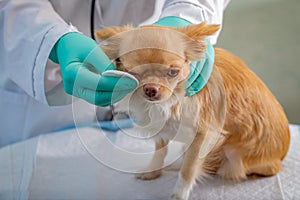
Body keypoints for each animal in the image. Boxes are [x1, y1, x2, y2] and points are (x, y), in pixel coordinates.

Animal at [95, 23, 288, 200]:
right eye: (132, 73)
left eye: (173, 72)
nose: (151, 89)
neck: (174, 98)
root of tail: (281, 156)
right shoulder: (162, 128)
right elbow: (160, 150)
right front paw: (153, 171)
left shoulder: (204, 135)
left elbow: (188, 168)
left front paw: (179, 194)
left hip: (235, 156)